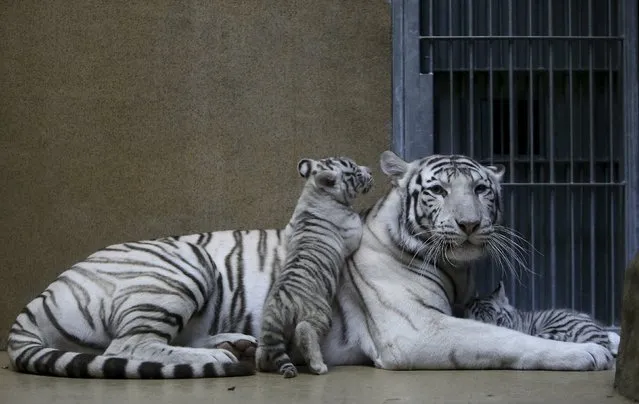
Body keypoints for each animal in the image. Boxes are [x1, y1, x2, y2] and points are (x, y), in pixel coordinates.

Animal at [6, 149, 616, 378]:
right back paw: (220, 358)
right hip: (179, 267)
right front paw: (585, 352)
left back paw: (238, 345)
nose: (469, 225)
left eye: (483, 190)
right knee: (128, 345)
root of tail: (40, 295)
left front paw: (604, 335)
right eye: (438, 191)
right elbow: (507, 339)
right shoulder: (417, 331)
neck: (456, 268)